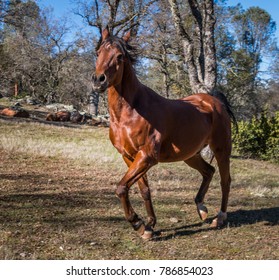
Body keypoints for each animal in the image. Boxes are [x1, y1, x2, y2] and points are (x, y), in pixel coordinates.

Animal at [93, 27, 235, 238]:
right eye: (98, 53)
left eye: (119, 56)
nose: (98, 80)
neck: (131, 112)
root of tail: (215, 102)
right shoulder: (129, 157)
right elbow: (143, 190)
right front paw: (149, 226)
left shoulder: (147, 157)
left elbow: (121, 188)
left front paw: (137, 223)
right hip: (190, 155)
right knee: (209, 171)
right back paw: (201, 208)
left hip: (221, 149)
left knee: (225, 180)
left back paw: (220, 217)